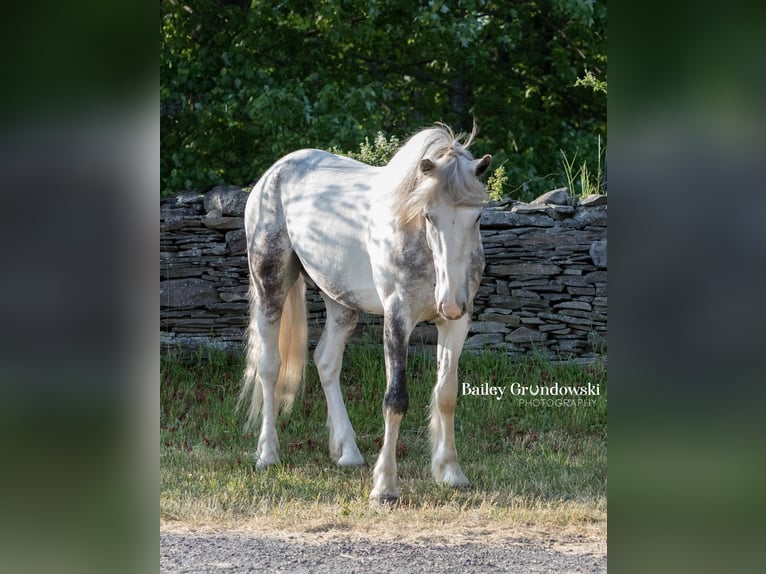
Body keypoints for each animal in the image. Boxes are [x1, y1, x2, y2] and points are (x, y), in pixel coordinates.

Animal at [238, 124, 492, 502]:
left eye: (476, 216)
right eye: (428, 216)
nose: (449, 301)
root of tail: (274, 173)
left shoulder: (456, 325)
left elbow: (446, 395)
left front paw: (451, 472)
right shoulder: (397, 320)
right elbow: (395, 399)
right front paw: (385, 486)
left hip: (340, 301)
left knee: (326, 362)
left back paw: (348, 451)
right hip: (271, 285)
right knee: (270, 368)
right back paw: (268, 453)